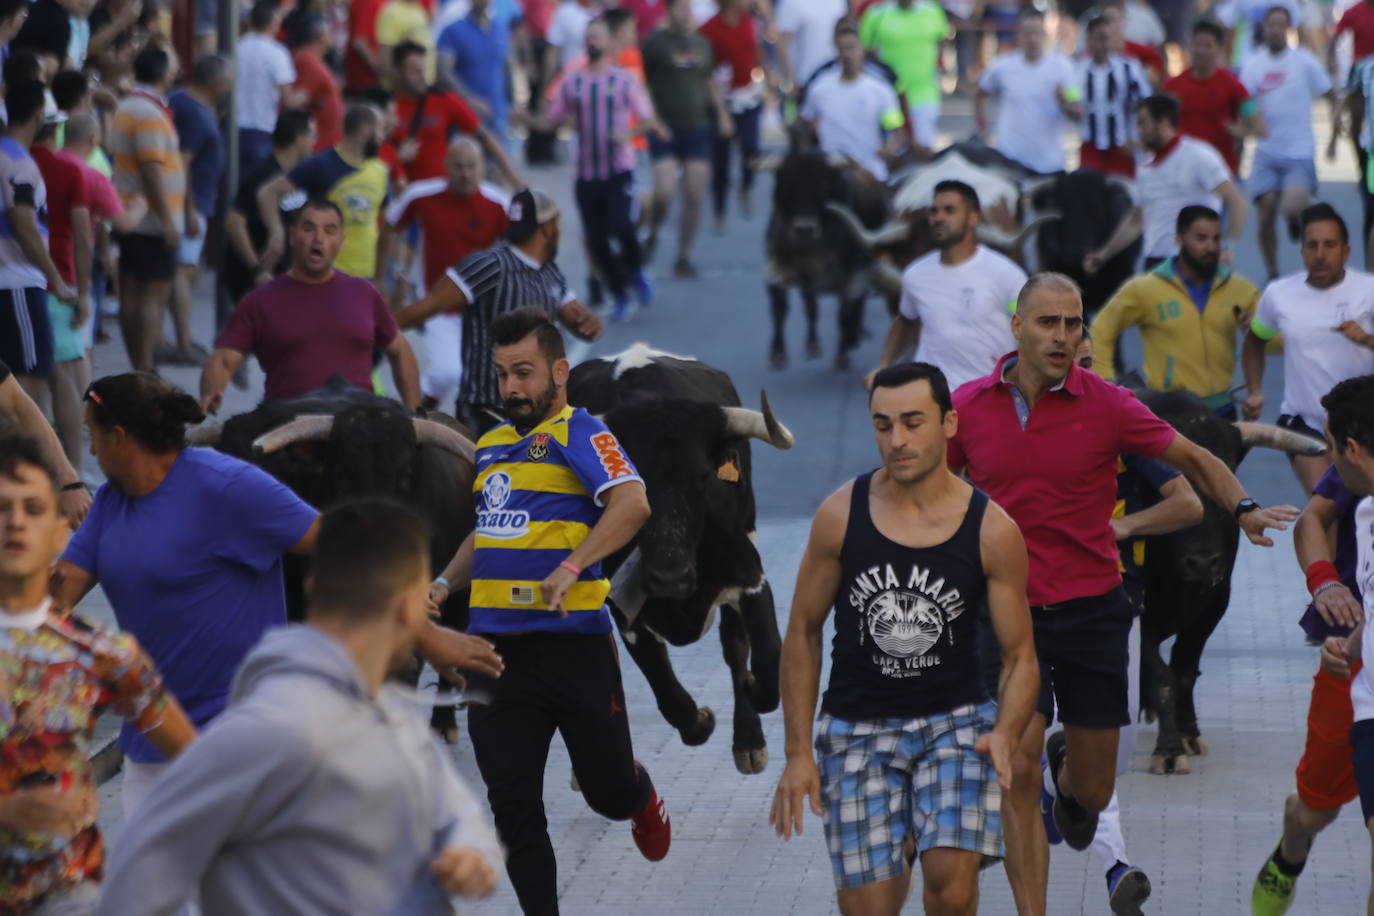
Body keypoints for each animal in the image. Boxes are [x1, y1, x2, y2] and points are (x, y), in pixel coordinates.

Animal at [568, 343, 796, 774]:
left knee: (733, 644)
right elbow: (668, 695)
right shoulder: (625, 611)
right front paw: (700, 720)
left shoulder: (750, 575)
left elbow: (768, 656)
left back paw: (748, 742)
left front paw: (752, 700)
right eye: (628, 485)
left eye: (702, 479)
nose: (668, 578)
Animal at [1132, 390, 1324, 780]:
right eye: (1160, 488)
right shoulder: (1140, 612)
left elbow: (1184, 671)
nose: (1203, 562)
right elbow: (1161, 676)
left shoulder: (1215, 603)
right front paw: (1169, 750)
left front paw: (1188, 734)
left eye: (1226, 475)